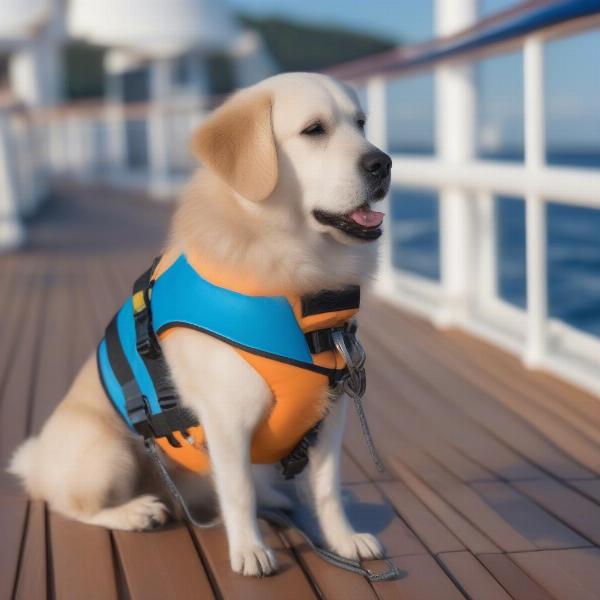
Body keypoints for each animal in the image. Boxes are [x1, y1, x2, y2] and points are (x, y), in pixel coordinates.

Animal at [10, 71, 394, 576]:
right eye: (314, 130)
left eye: (362, 123)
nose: (383, 163)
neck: (300, 286)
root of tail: (34, 461)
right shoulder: (228, 419)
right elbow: (238, 491)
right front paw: (249, 550)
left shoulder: (331, 415)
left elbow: (327, 488)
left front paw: (344, 540)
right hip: (107, 453)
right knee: (70, 505)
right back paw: (136, 511)